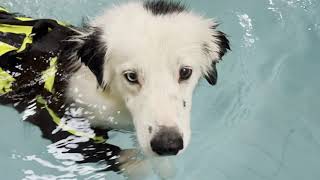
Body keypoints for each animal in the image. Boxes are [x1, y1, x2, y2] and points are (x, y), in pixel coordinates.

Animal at [0, 0, 230, 177]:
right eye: (131, 76)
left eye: (185, 72)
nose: (168, 144)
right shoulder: (57, 120)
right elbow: (103, 150)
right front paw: (139, 166)